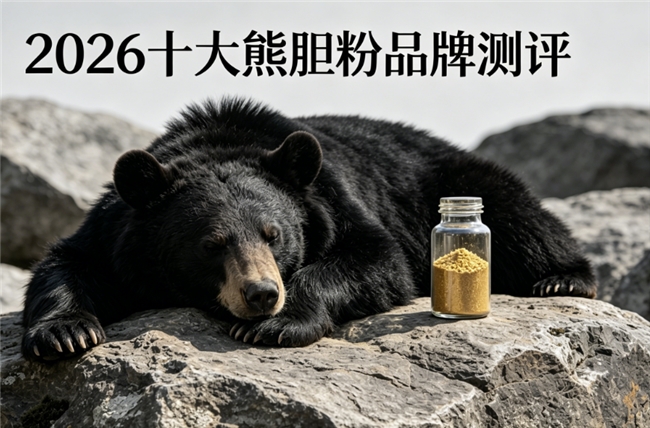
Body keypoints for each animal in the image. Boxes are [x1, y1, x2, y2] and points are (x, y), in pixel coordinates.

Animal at [22, 98, 597, 361]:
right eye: (211, 245)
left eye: (275, 235)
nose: (261, 294)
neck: (219, 140)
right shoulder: (114, 230)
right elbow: (67, 262)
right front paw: (67, 333)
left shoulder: (335, 199)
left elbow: (376, 258)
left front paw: (278, 324)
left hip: (456, 181)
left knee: (520, 218)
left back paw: (562, 279)